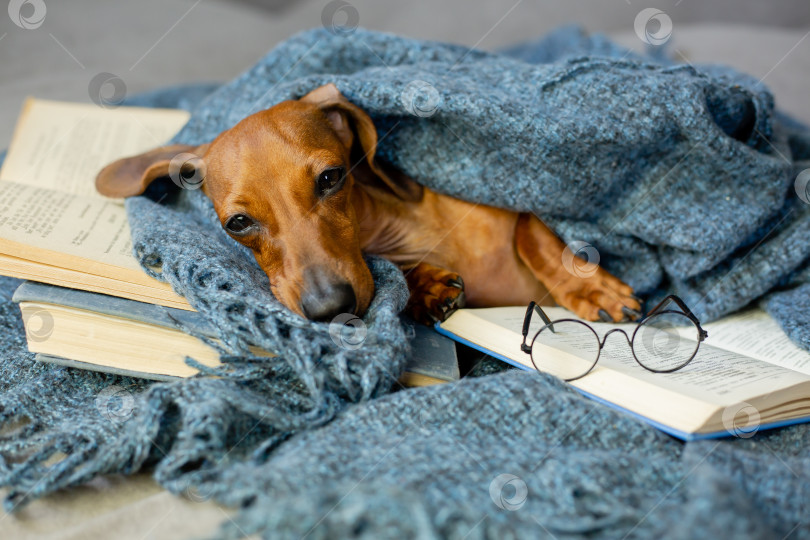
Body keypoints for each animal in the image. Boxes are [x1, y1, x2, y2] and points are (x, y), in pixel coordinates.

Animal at [96, 83, 636, 324]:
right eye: (238, 223)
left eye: (331, 178)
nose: (327, 309)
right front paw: (424, 288)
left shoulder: (506, 203)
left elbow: (531, 230)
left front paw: (589, 286)